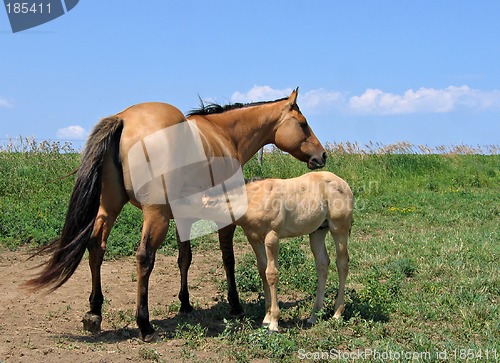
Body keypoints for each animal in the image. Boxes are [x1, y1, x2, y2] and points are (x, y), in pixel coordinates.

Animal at [26, 87, 328, 342]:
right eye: (303, 124)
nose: (322, 155)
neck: (224, 134)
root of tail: (123, 119)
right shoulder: (224, 217)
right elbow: (227, 259)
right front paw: (235, 304)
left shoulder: (184, 216)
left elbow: (185, 259)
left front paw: (185, 303)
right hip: (154, 215)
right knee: (144, 258)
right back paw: (144, 325)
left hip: (109, 208)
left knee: (96, 248)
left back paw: (94, 312)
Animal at [201, 172, 354, 334]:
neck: (254, 199)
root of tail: (343, 183)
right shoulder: (254, 239)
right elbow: (263, 271)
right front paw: (266, 318)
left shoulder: (272, 237)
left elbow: (272, 274)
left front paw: (274, 323)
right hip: (318, 231)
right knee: (322, 264)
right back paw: (314, 315)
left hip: (339, 229)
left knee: (342, 264)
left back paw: (337, 313)